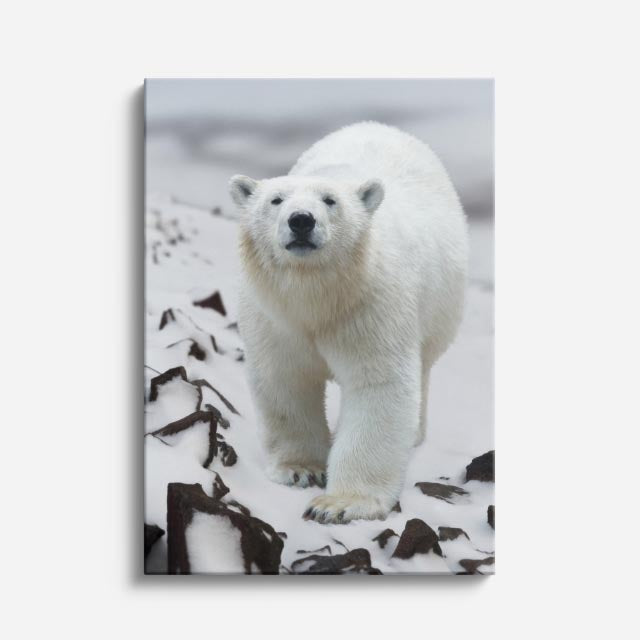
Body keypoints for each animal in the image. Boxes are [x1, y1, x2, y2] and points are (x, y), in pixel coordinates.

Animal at [229, 121, 468, 524]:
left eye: (330, 200)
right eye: (276, 200)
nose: (301, 220)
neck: (319, 296)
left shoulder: (371, 305)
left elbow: (379, 385)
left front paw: (338, 504)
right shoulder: (273, 316)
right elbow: (285, 378)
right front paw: (300, 469)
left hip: (439, 306)